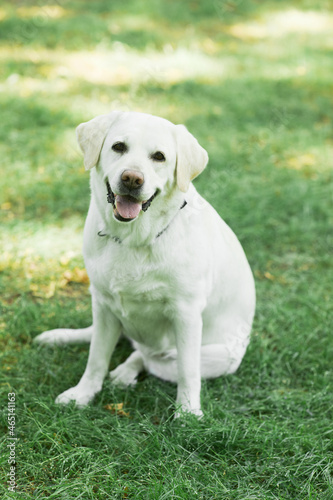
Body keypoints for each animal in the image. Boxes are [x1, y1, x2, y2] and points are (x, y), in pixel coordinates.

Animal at [34, 111, 254, 416]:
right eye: (118, 147)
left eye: (159, 157)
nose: (132, 179)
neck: (134, 238)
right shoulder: (103, 304)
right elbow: (96, 357)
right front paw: (82, 394)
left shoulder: (186, 314)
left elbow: (188, 370)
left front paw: (187, 412)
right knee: (111, 340)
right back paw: (60, 338)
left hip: (218, 357)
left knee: (150, 356)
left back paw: (126, 372)